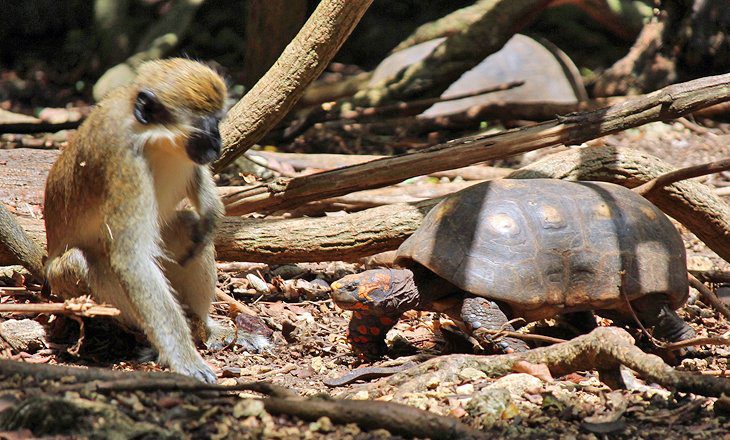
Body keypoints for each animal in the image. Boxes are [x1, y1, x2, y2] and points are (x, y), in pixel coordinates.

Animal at [43, 57, 258, 382]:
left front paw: (211, 211)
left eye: (218, 122)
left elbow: (197, 186)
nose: (217, 144)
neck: (155, 140)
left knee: (186, 229)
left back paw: (206, 328)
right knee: (86, 262)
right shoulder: (124, 165)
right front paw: (184, 358)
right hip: (61, 283)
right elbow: (132, 260)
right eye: (205, 129)